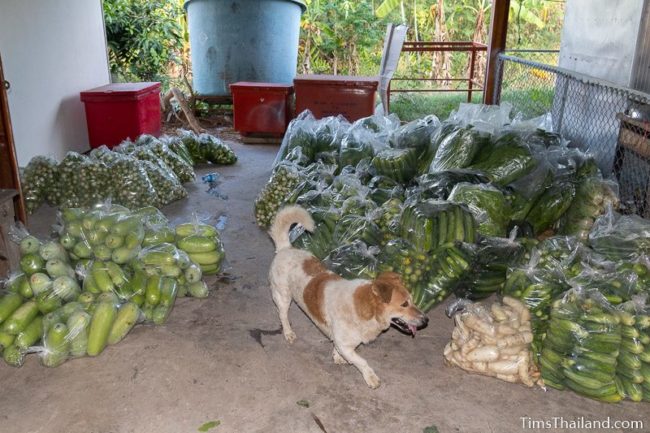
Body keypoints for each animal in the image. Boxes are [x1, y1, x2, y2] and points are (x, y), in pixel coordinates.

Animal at [266, 204, 428, 386]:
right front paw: (371, 377)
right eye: (404, 304)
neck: (363, 309)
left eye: (412, 301)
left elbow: (339, 350)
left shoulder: (343, 343)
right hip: (283, 296)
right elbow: (362, 361)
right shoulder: (346, 345)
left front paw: (337, 357)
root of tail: (286, 248)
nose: (426, 320)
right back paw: (288, 332)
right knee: (283, 315)